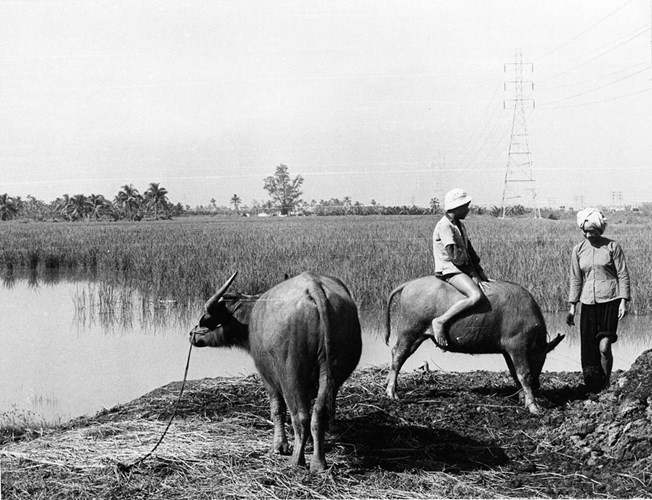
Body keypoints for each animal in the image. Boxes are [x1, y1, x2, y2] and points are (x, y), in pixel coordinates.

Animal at [190, 272, 362, 470]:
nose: (192, 334)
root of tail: (313, 287)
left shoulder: (267, 378)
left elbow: (277, 409)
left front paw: (280, 446)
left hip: (291, 374)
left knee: (300, 416)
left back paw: (296, 460)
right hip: (332, 369)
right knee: (320, 413)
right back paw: (318, 463)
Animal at [384, 278, 564, 414]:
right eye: (542, 358)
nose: (537, 384)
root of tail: (410, 283)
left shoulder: (507, 351)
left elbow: (514, 373)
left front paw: (522, 399)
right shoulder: (517, 346)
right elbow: (523, 374)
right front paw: (533, 406)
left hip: (417, 336)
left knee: (398, 354)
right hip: (410, 331)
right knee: (398, 355)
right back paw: (391, 391)